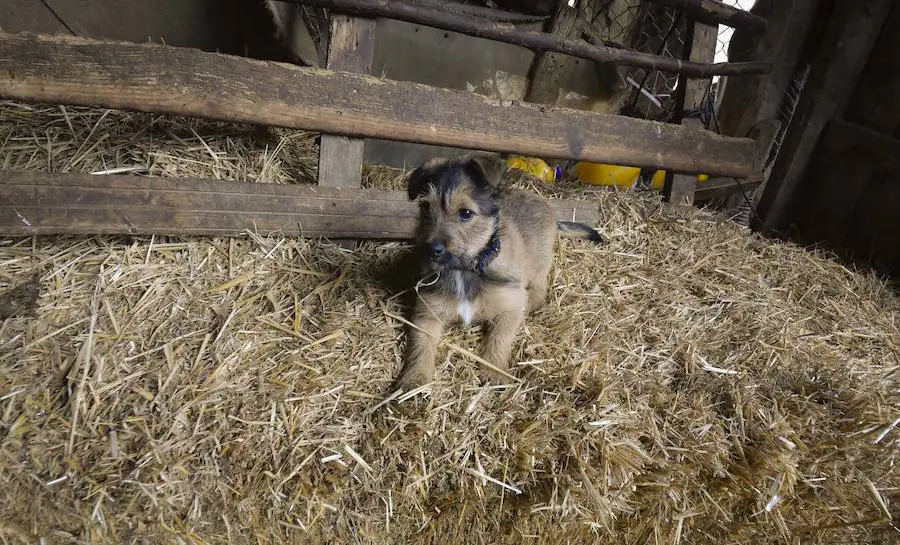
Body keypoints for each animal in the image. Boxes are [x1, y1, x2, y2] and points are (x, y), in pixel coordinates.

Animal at [398, 153, 600, 392]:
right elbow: (421, 346)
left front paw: (493, 371)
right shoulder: (426, 315)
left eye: (465, 213)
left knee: (539, 287)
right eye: (425, 208)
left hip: (540, 264)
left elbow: (499, 339)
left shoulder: (510, 306)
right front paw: (415, 378)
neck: (465, 271)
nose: (431, 250)